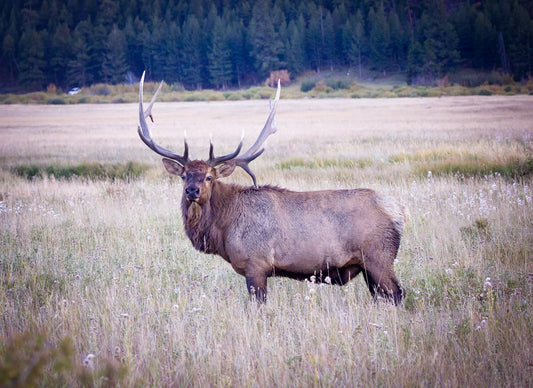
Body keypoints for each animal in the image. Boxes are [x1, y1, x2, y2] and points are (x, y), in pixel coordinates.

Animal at [137, 72, 408, 304]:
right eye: (184, 176)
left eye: (209, 177)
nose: (192, 191)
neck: (223, 229)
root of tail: (397, 211)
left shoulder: (256, 264)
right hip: (369, 268)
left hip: (379, 258)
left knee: (397, 294)